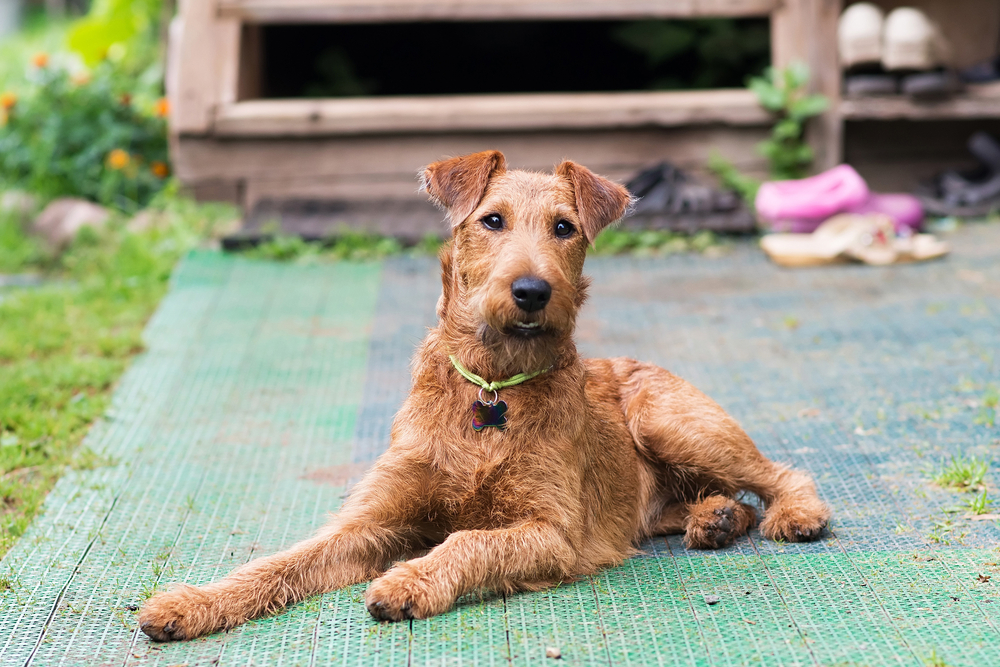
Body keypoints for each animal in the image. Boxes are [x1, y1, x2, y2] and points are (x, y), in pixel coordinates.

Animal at [141, 151, 828, 640]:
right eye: (491, 220)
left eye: (564, 228)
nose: (531, 291)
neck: (491, 388)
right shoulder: (370, 521)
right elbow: (280, 563)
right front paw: (188, 602)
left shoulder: (551, 531)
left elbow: (470, 540)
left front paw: (407, 582)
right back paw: (714, 519)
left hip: (670, 422)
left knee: (777, 473)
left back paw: (792, 514)